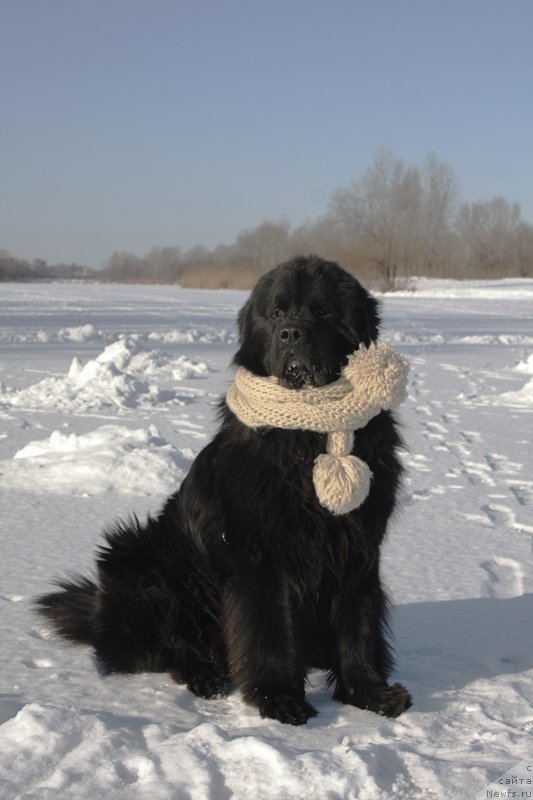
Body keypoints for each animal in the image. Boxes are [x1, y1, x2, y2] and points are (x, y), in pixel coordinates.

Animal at [38, 256, 412, 724]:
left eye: (323, 311)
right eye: (276, 312)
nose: (291, 333)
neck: (307, 439)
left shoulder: (356, 547)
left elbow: (357, 624)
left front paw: (370, 692)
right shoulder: (261, 558)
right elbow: (271, 631)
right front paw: (279, 698)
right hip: (137, 558)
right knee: (167, 647)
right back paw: (206, 676)